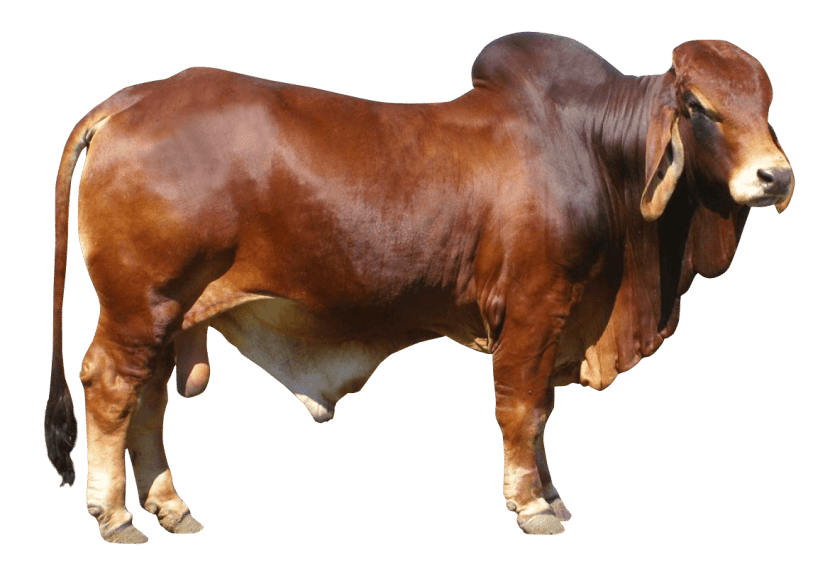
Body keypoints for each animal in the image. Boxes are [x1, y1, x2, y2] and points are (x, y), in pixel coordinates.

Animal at [45, 32, 794, 543]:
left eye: (765, 103)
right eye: (697, 105)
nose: (774, 176)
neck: (597, 150)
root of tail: (134, 98)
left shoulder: (558, 320)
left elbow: (543, 409)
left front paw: (551, 494)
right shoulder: (533, 307)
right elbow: (522, 408)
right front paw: (531, 505)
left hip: (169, 311)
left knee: (148, 398)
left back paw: (171, 507)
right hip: (142, 302)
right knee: (110, 386)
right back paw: (115, 515)